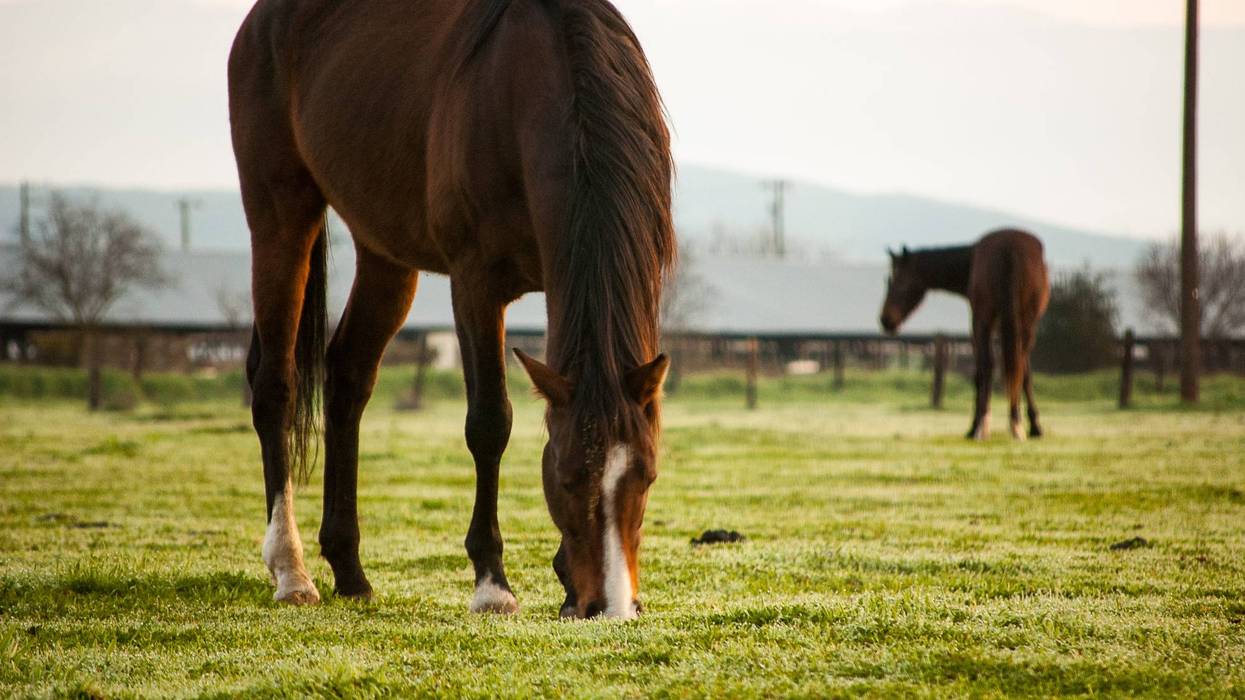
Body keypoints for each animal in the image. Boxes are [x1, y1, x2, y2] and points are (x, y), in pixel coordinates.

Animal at [229, 0, 674, 620]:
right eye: (564, 477)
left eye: (648, 477)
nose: (608, 606)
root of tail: (260, 24)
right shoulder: (475, 284)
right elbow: (489, 424)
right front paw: (493, 583)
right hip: (281, 217)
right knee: (277, 386)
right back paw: (292, 571)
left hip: (385, 255)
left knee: (348, 378)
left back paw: (350, 569)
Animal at [879, 229, 1050, 441]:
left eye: (896, 281)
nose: (885, 319)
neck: (969, 260)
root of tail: (1009, 250)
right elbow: (1022, 371)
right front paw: (1033, 426)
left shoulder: (978, 323)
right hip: (1020, 321)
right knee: (1009, 364)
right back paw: (1009, 423)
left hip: (986, 320)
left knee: (989, 366)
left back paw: (984, 426)